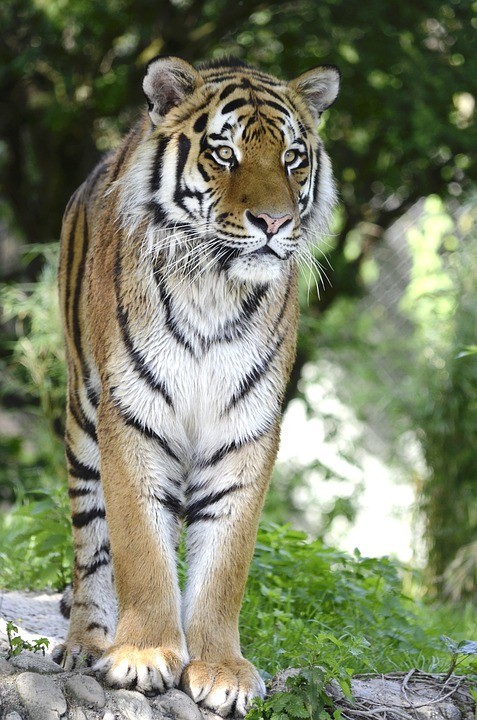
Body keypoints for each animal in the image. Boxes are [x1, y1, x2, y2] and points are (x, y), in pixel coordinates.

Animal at [53, 54, 338, 716]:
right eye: (224, 154)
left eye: (292, 157)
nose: (274, 222)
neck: (214, 287)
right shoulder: (132, 417)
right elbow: (140, 548)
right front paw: (142, 655)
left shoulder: (246, 430)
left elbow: (225, 563)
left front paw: (221, 670)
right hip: (82, 418)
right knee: (92, 547)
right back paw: (87, 643)